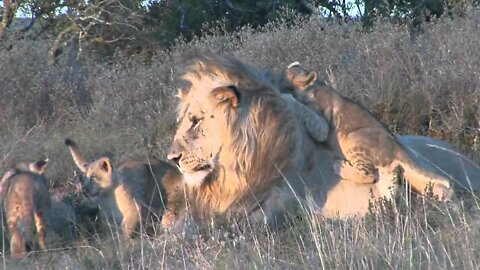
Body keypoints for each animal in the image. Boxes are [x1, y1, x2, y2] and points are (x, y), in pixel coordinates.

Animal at [284, 63, 454, 200]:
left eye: (291, 74)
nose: (288, 67)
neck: (315, 86)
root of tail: (397, 147)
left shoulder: (322, 124)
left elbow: (306, 112)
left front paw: (288, 98)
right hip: (390, 172)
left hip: (355, 138)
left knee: (369, 175)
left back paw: (340, 167)